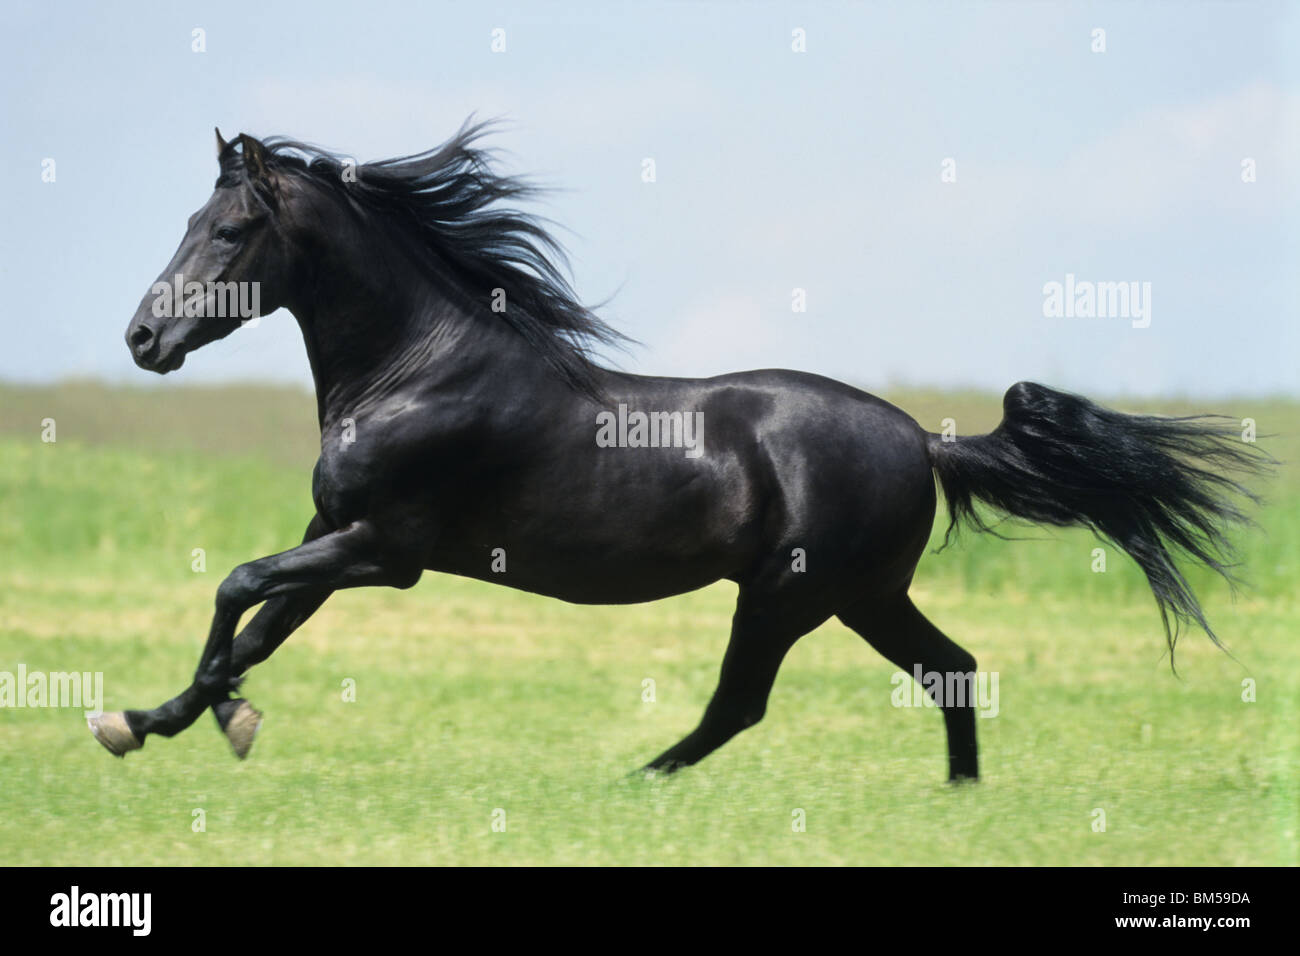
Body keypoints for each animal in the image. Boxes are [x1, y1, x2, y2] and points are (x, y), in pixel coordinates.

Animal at [91, 121, 1269, 781]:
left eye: (230, 230)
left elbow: (237, 589)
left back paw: (635, 779)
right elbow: (259, 624)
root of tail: (923, 441)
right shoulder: (337, 536)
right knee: (953, 669)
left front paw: (191, 720)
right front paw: (154, 720)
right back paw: (959, 799)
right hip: (862, 595)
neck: (414, 370)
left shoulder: (387, 549)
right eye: (193, 220)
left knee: (742, 702)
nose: (142, 337)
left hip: (792, 593)